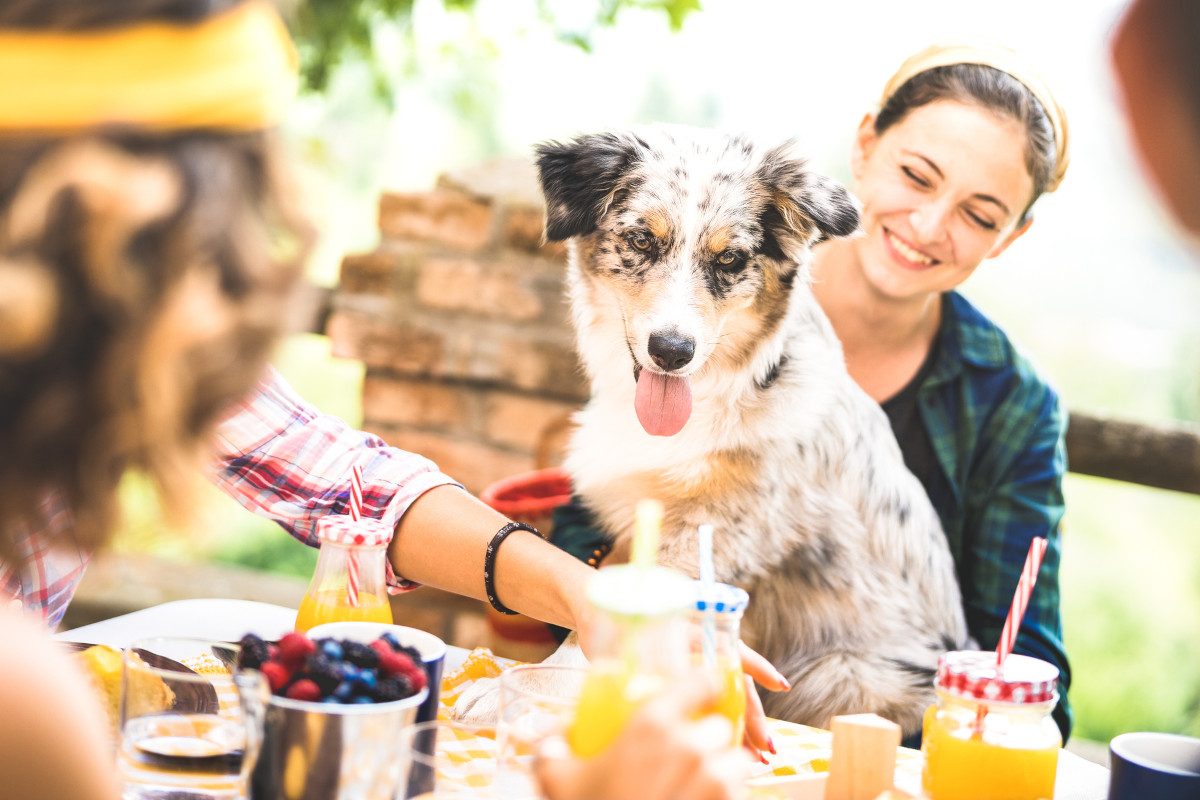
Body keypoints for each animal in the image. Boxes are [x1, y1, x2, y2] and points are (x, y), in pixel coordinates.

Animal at [453, 123, 969, 738]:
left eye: (729, 258)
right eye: (642, 241)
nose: (673, 351)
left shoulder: (717, 532)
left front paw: (528, 691)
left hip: (845, 672)